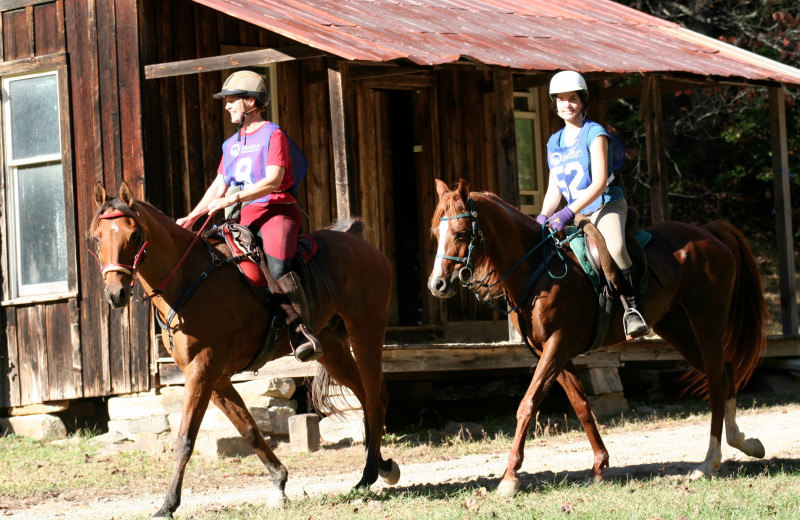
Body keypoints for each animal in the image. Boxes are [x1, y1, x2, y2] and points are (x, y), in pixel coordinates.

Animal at [90, 181, 400, 516]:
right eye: (96, 238)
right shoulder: (216, 379)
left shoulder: (203, 371)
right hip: (333, 350)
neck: (188, 280)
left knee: (375, 398)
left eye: (134, 235)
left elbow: (185, 439)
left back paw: (374, 471)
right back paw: (377, 469)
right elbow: (249, 429)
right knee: (365, 396)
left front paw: (167, 505)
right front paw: (279, 482)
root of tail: (357, 240)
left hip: (366, 332)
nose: (116, 294)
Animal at [428, 178, 772, 496]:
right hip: (677, 328)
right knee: (725, 372)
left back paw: (710, 461)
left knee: (716, 378)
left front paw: (510, 477)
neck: (537, 271)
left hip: (707, 321)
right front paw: (599, 465)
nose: (438, 284)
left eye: (461, 233)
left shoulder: (558, 344)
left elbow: (528, 403)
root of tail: (710, 233)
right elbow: (581, 405)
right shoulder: (552, 352)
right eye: (435, 234)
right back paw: (744, 443)